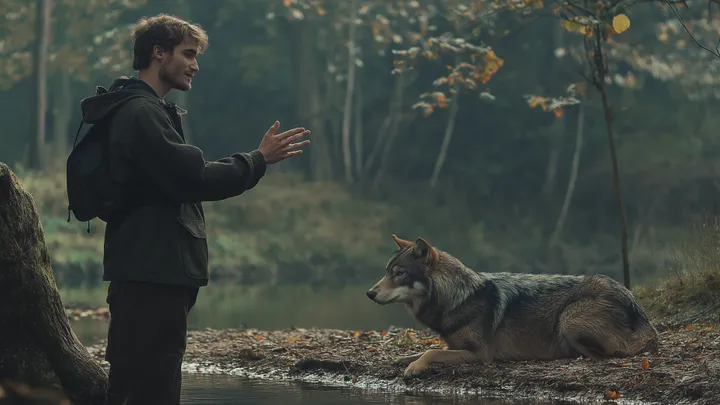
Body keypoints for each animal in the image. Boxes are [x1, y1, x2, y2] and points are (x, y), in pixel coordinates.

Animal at [366, 234, 659, 379]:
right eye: (387, 271)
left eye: (399, 274)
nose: (369, 293)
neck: (459, 296)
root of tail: (642, 314)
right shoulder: (455, 346)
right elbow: (424, 350)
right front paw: (405, 359)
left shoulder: (479, 353)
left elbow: (430, 352)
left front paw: (414, 367)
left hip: (568, 319)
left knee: (606, 355)